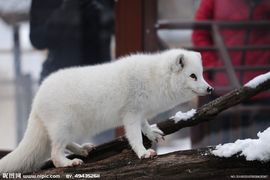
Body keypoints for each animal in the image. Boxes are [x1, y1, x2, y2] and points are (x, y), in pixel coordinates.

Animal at [0, 48, 213, 172]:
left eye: (202, 74)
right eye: (192, 76)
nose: (210, 89)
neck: (154, 78)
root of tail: (36, 100)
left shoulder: (140, 112)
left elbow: (144, 125)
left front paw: (152, 133)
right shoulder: (131, 114)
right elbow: (134, 136)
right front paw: (143, 153)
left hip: (71, 128)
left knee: (63, 144)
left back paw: (82, 149)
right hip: (63, 126)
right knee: (54, 155)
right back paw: (69, 163)